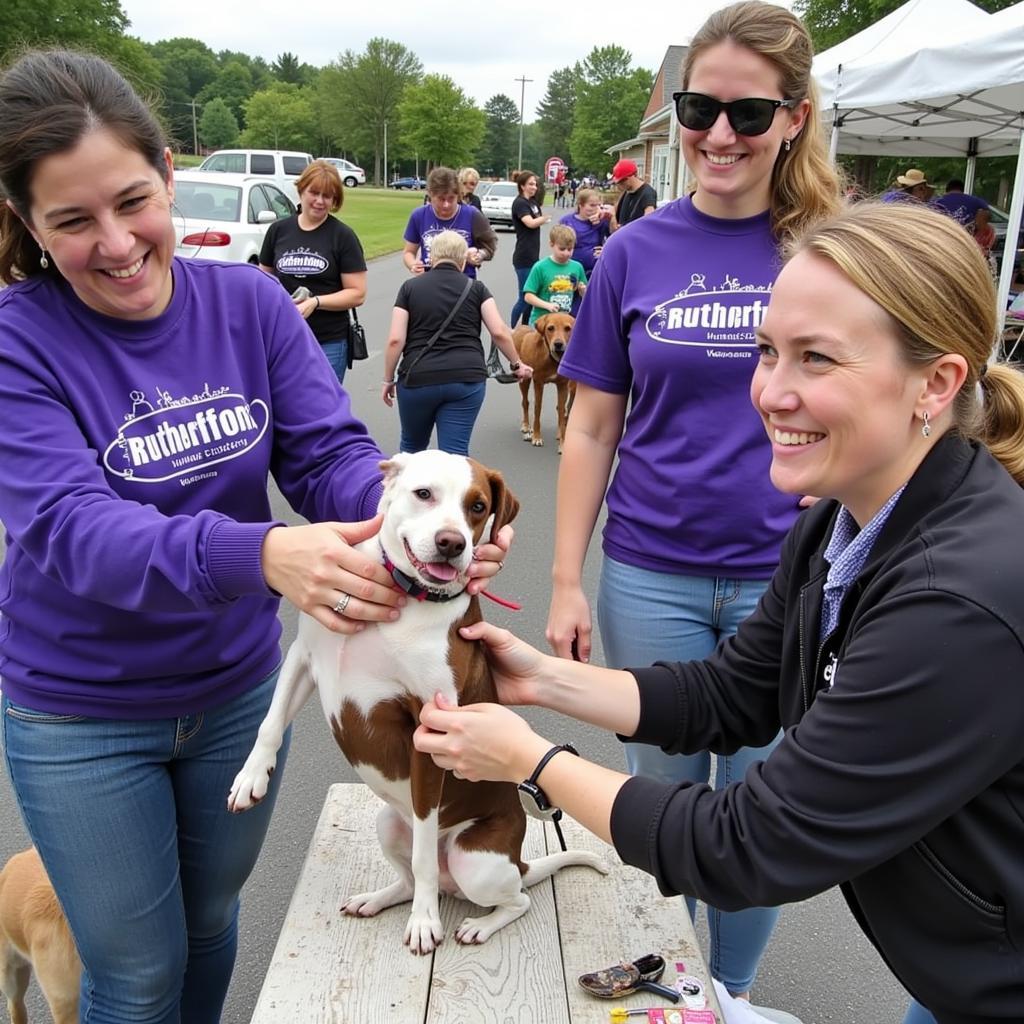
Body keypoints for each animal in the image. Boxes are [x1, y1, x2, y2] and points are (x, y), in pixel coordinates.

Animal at [228, 450, 602, 950]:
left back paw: (476, 923)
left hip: (475, 862)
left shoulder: (431, 734)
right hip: (387, 824)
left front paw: (425, 922)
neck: (404, 601)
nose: (451, 543)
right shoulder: (304, 658)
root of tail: (518, 861)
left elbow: (425, 852)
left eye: (478, 507)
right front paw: (251, 777)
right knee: (407, 879)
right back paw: (378, 898)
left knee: (512, 898)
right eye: (424, 494)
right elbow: (270, 722)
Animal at [512, 313, 577, 454]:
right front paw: (536, 437)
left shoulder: (563, 385)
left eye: (567, 328)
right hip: (525, 379)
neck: (553, 359)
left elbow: (561, 411)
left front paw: (562, 443)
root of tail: (522, 328)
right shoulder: (538, 382)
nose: (558, 344)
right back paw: (526, 426)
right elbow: (538, 408)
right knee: (525, 402)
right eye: (550, 328)